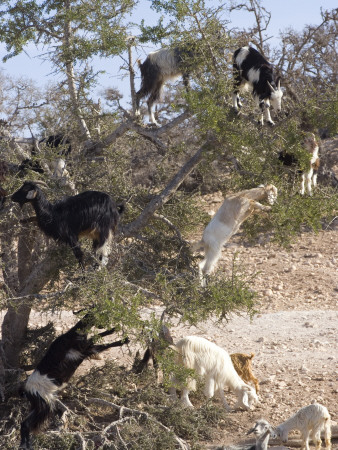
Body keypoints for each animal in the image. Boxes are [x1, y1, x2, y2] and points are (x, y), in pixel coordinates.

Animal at [19, 312, 129, 450]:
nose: (103, 323)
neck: (72, 335)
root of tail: (27, 390)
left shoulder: (86, 350)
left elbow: (98, 340)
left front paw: (114, 330)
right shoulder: (85, 349)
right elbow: (101, 343)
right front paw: (124, 339)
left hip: (40, 404)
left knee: (25, 423)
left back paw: (25, 444)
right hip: (44, 404)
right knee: (29, 424)